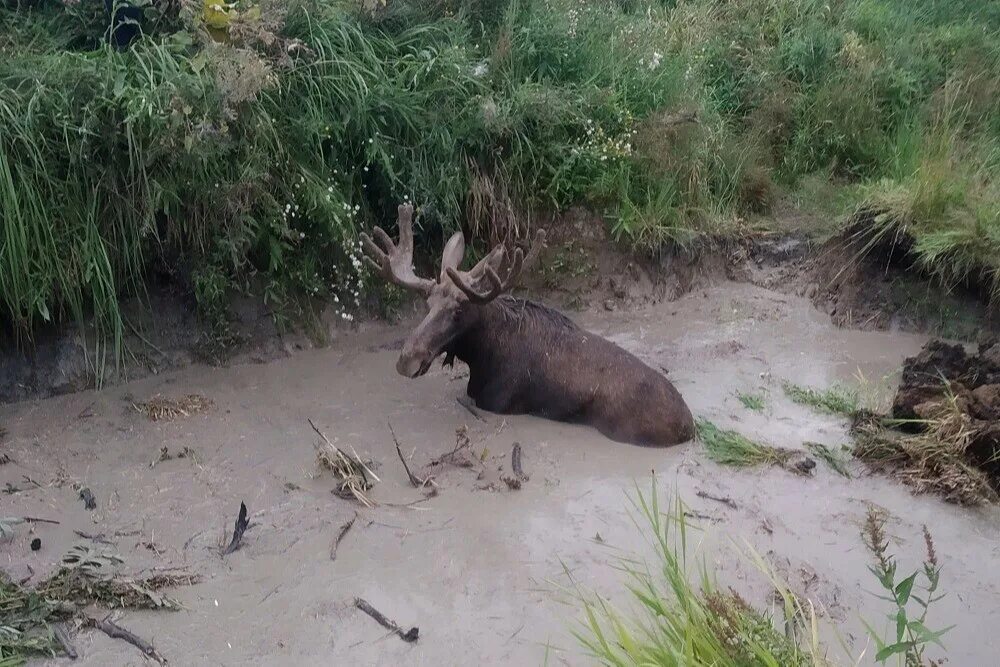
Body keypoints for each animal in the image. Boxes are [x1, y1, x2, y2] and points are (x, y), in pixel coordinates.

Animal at [362, 201, 696, 446]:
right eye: (427, 305)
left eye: (458, 311)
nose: (407, 359)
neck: (482, 355)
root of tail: (690, 426)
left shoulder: (494, 403)